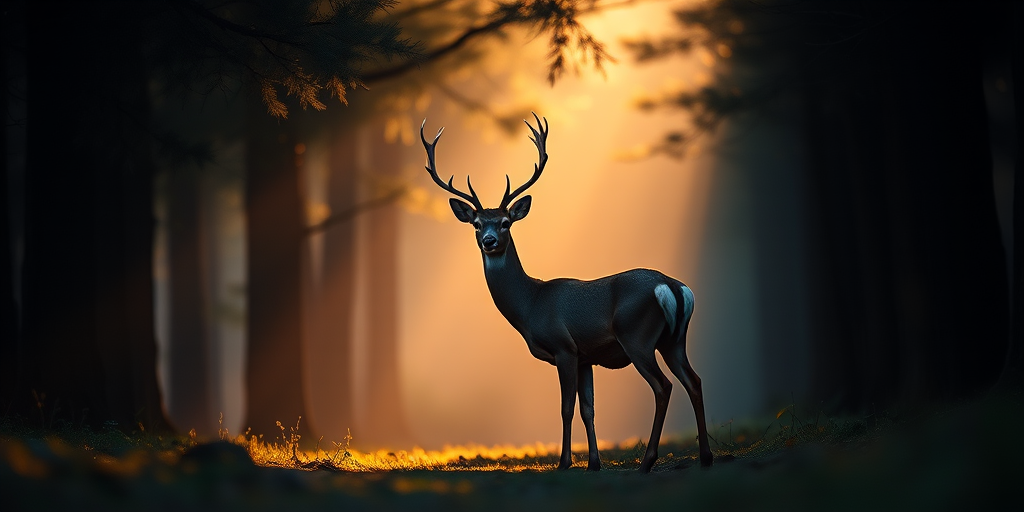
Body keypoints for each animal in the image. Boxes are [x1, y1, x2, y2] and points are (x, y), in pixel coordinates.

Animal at [420, 113, 713, 473]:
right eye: (476, 224)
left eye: (505, 222)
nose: (489, 241)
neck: (531, 305)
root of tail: (672, 287)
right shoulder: (586, 356)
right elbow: (589, 409)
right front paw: (594, 463)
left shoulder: (564, 347)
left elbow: (566, 408)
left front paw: (564, 463)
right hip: (674, 340)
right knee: (694, 381)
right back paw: (706, 457)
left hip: (637, 337)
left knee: (663, 386)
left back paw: (647, 461)